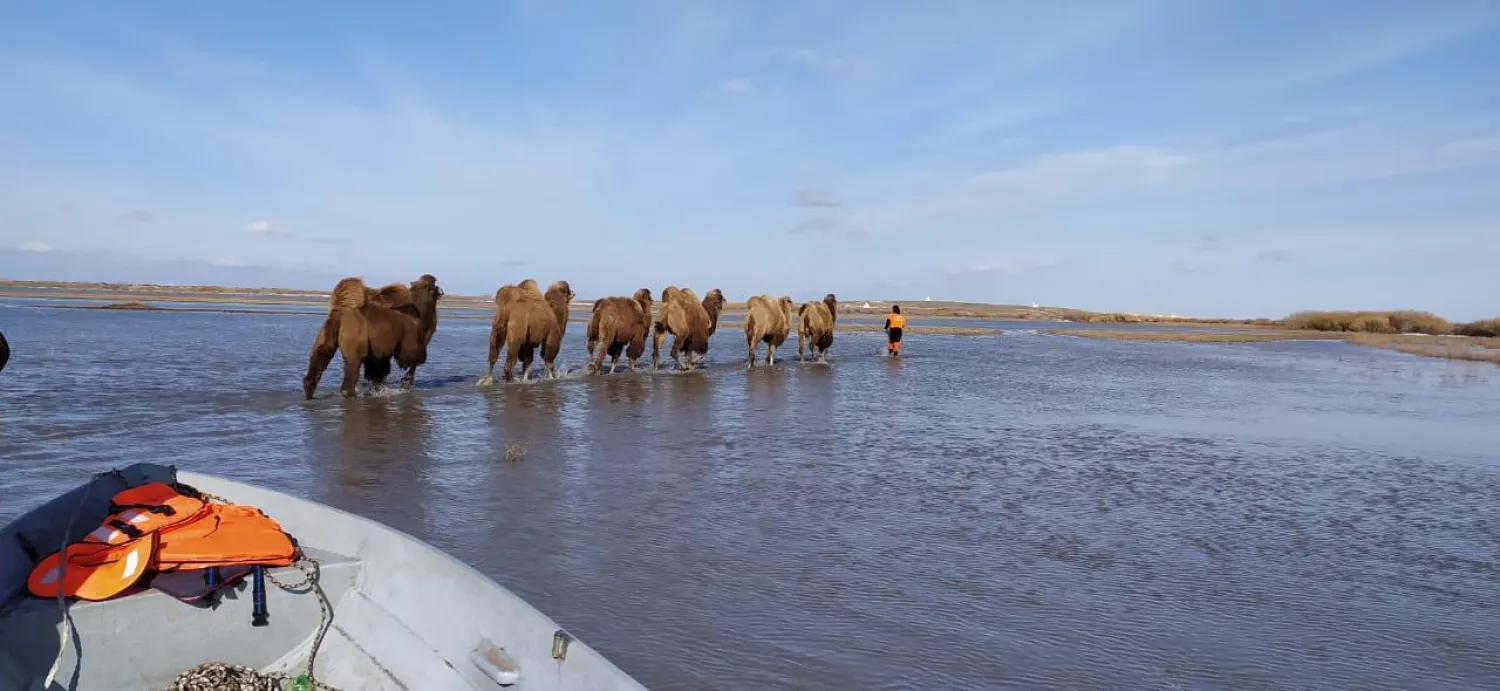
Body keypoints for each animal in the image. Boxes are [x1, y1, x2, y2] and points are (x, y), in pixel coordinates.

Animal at [301, 275, 441, 398]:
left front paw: (379, 389)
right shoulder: (408, 333)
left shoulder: (378, 349)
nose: (441, 291)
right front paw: (405, 384)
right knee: (352, 367)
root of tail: (340, 313)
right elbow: (410, 356)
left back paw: (309, 392)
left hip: (327, 331)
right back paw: (351, 394)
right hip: (355, 337)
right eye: (435, 286)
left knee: (319, 356)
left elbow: (378, 371)